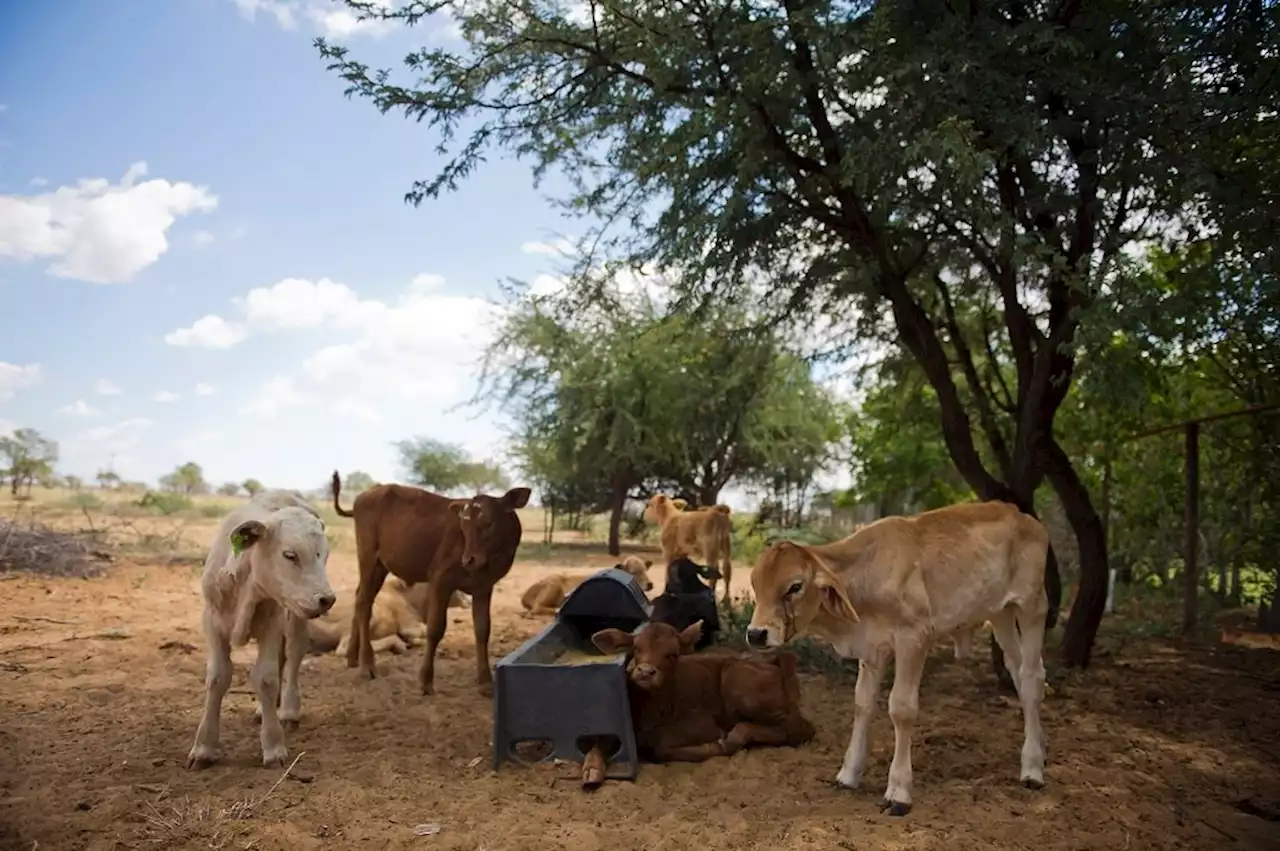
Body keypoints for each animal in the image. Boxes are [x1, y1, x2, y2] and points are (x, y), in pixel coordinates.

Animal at [186, 483, 337, 767]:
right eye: (290, 555)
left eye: (324, 555)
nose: (327, 599)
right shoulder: (211, 622)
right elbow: (217, 677)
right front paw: (203, 748)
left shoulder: (271, 622)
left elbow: (266, 679)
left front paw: (273, 747)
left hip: (296, 615)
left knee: (293, 654)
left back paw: (287, 710)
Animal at [335, 468, 529, 696]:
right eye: (464, 527)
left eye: (488, 522)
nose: (468, 559)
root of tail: (369, 493)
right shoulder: (440, 580)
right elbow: (435, 629)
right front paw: (426, 681)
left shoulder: (483, 588)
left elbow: (482, 630)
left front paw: (485, 681)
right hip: (369, 559)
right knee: (364, 603)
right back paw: (367, 665)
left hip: (380, 566)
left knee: (360, 598)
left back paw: (352, 657)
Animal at [519, 555, 655, 614]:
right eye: (634, 572)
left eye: (645, 569)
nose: (650, 584)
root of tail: (525, 595)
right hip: (553, 586)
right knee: (536, 608)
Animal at [586, 616, 808, 762]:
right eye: (636, 648)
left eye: (672, 654)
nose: (646, 672)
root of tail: (776, 661)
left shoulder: (705, 723)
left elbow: (661, 744)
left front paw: (713, 745)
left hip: (736, 681)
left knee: (798, 728)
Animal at [742, 501, 1049, 813]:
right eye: (756, 584)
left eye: (795, 586)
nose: (756, 634)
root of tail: (1019, 514)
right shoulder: (872, 650)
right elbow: (863, 704)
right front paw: (848, 774)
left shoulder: (913, 638)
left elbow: (901, 708)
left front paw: (898, 790)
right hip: (1000, 615)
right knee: (1016, 671)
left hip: (1032, 607)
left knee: (1032, 677)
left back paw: (1033, 769)